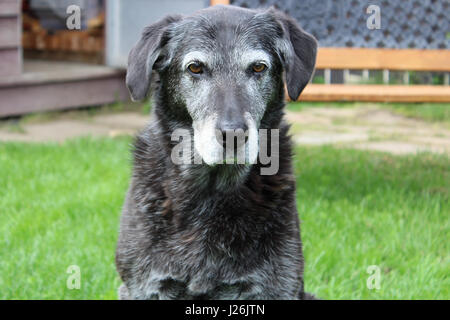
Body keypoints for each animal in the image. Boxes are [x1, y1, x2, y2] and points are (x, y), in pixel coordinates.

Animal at [117, 4, 320, 300]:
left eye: (258, 67)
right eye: (195, 67)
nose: (233, 134)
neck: (211, 191)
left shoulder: (276, 287)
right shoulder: (144, 286)